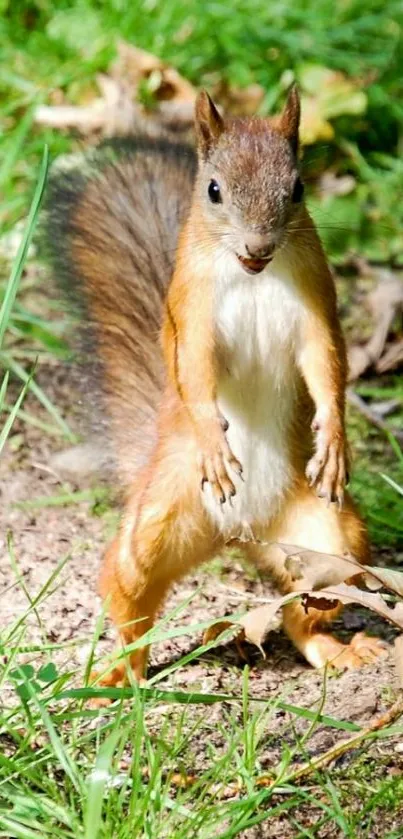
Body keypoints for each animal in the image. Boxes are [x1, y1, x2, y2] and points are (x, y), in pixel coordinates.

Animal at [44, 88, 386, 684]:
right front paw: (213, 440)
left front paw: (334, 440)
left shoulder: (316, 306)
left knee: (304, 613)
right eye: (213, 190)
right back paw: (115, 676)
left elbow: (326, 366)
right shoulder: (192, 311)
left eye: (297, 188)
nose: (258, 245)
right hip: (154, 524)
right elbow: (196, 372)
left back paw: (337, 650)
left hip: (332, 545)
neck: (253, 278)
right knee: (129, 605)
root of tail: (238, 532)